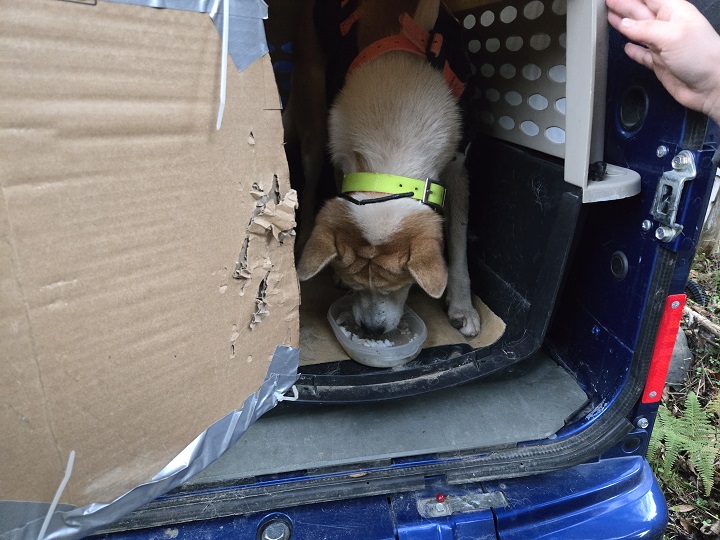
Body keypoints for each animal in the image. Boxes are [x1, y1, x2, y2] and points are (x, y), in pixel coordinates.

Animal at [285, 0, 481, 339]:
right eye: (354, 285)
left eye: (402, 285)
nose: (371, 329)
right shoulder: (342, 154)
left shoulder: (458, 166)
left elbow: (458, 243)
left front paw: (462, 305)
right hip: (314, 119)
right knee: (308, 188)